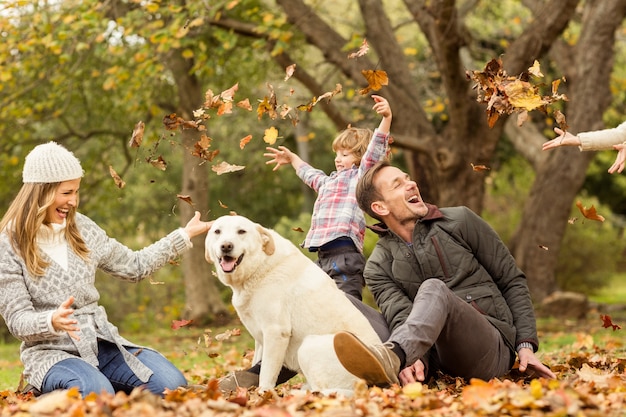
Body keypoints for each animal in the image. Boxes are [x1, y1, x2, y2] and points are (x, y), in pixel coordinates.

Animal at [205, 214, 380, 394]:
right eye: (217, 232)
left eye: (241, 231)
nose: (226, 246)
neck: (259, 267)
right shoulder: (260, 337)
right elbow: (257, 363)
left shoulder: (275, 331)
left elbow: (266, 373)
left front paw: (262, 395)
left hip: (308, 346)